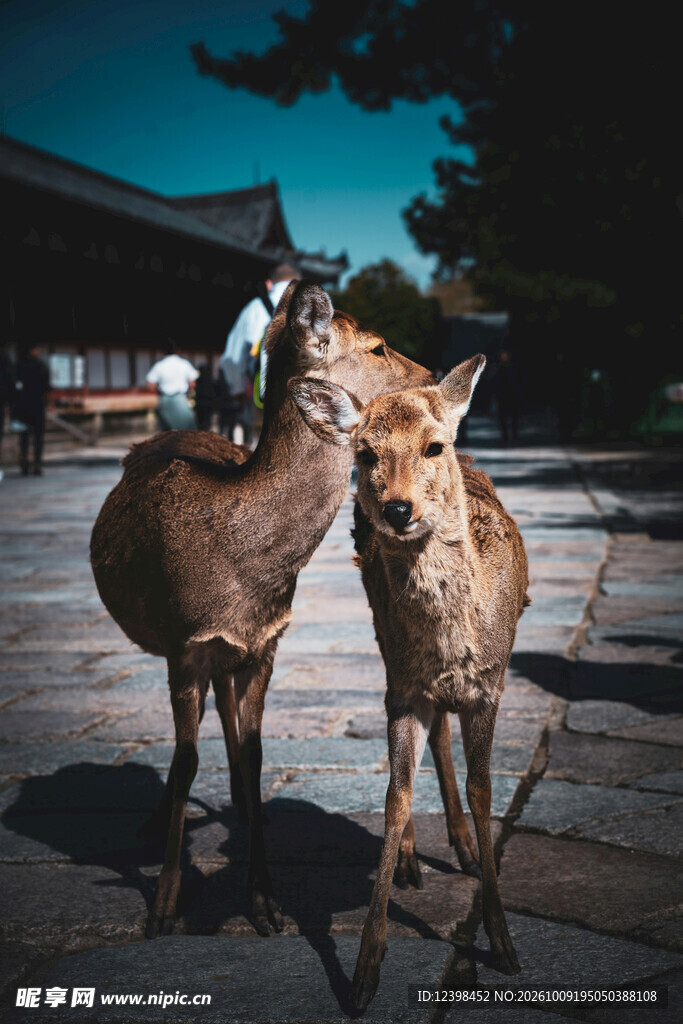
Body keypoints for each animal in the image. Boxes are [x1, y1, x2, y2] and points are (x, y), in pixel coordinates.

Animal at [89, 280, 435, 942]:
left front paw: (265, 902)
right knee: (193, 736)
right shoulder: (183, 643)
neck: (238, 578)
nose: (431, 376)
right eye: (378, 346)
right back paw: (158, 821)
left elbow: (253, 755)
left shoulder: (267, 643)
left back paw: (245, 810)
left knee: (227, 715)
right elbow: (186, 759)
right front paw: (164, 907)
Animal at [289, 353, 530, 1010]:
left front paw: (503, 944)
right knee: (430, 738)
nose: (398, 509)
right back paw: (413, 860)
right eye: (366, 452)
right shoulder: (404, 689)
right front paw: (364, 972)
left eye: (433, 445)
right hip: (383, 643)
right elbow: (395, 794)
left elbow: (483, 790)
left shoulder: (489, 684)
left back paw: (463, 850)